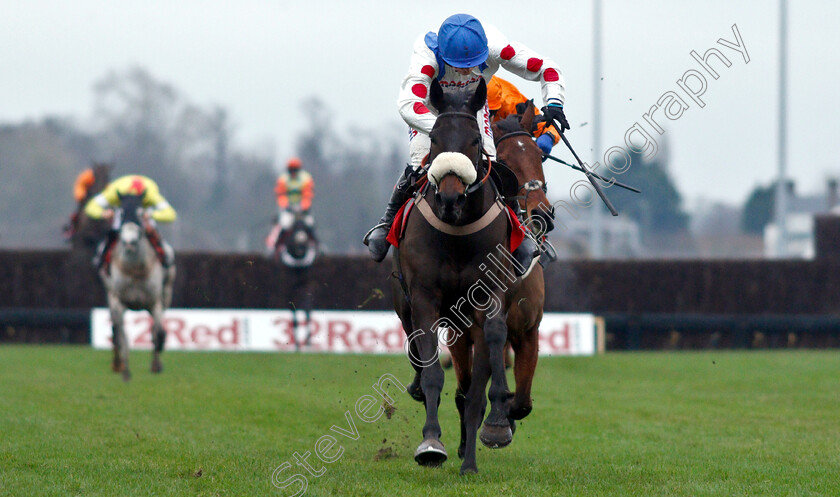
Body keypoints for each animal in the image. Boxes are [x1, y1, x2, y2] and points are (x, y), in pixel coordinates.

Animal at [85, 176, 177, 382]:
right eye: (120, 211)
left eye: (140, 212)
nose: (129, 242)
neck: (135, 268)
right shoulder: (118, 301)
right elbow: (122, 336)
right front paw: (125, 371)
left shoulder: (155, 302)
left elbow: (157, 333)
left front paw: (156, 364)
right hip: (110, 294)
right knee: (115, 331)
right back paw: (117, 363)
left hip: (167, 291)